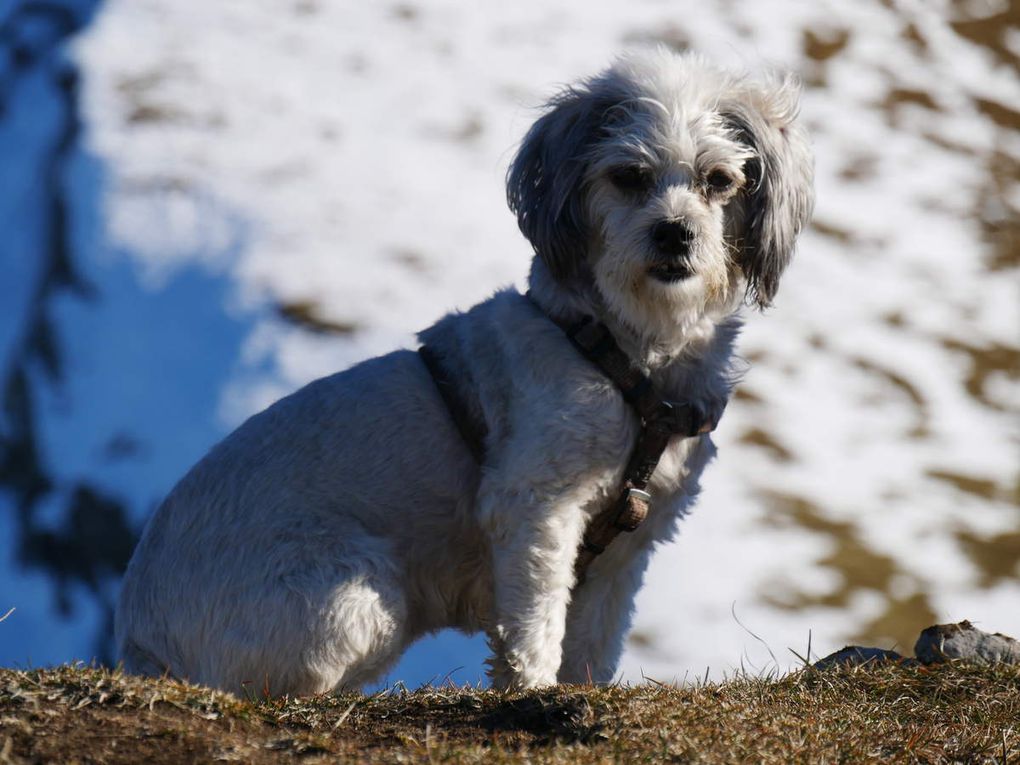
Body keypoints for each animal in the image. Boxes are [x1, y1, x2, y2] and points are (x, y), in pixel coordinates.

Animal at [113, 47, 811, 693]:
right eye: (628, 175)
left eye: (719, 179)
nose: (674, 234)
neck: (621, 358)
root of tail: (142, 644)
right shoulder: (538, 508)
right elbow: (537, 625)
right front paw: (531, 691)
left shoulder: (629, 548)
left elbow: (592, 643)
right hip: (359, 598)